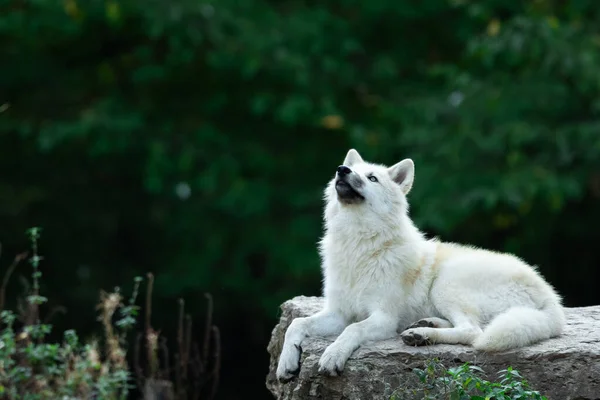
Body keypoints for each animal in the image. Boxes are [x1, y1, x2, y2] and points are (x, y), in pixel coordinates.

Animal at [274, 148, 564, 380]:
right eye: (352, 170)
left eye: (372, 178)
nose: (341, 170)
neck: (359, 245)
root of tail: (552, 299)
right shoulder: (338, 313)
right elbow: (296, 324)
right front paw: (286, 363)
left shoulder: (383, 318)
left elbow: (352, 329)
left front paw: (333, 355)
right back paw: (424, 328)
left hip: (446, 283)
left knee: (473, 332)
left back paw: (424, 334)